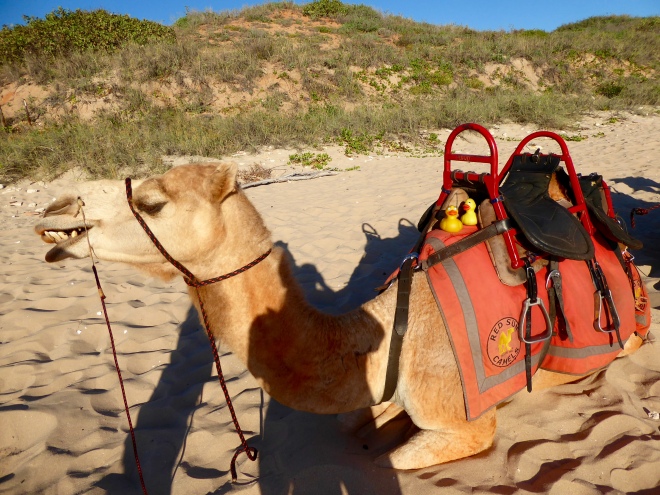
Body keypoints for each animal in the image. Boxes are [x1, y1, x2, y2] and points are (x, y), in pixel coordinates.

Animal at [34, 162, 643, 470]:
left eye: (154, 202)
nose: (54, 209)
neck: (390, 332)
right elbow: (353, 422)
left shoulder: (463, 419)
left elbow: (403, 457)